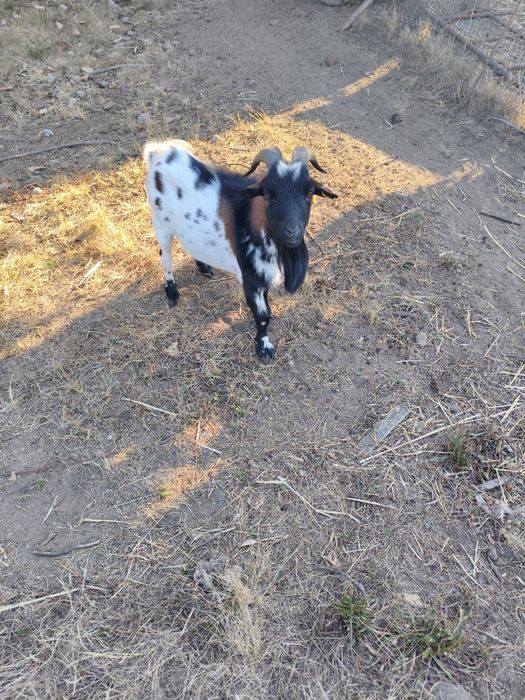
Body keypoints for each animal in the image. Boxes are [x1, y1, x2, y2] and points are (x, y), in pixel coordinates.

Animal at [144, 141, 337, 360]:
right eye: (269, 195)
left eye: (309, 194)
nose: (292, 230)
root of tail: (158, 152)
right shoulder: (250, 277)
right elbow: (262, 315)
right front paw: (264, 348)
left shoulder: (263, 274)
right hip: (160, 223)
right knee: (165, 256)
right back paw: (172, 292)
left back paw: (204, 267)